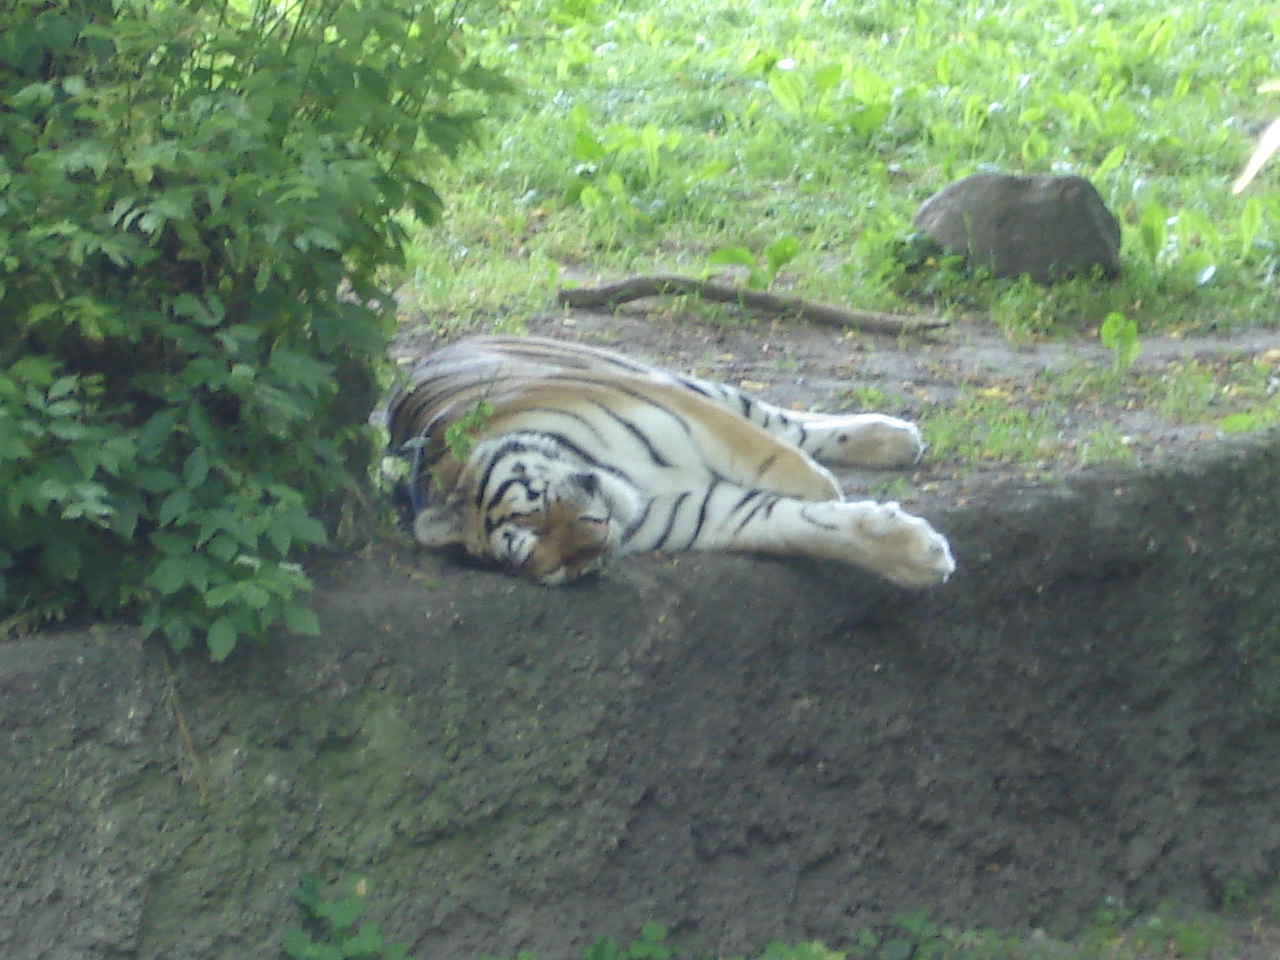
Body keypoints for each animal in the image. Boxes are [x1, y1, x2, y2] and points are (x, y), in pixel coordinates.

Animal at [381, 335, 955, 588]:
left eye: (532, 511)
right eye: (551, 566)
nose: (595, 542)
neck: (633, 487)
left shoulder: (682, 412)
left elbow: (775, 461)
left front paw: (825, 489)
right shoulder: (715, 512)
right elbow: (804, 527)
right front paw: (916, 556)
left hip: (676, 381)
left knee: (779, 421)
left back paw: (893, 438)